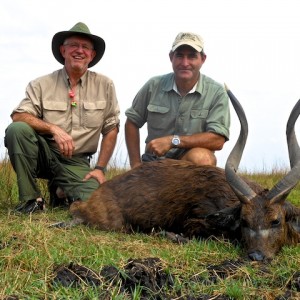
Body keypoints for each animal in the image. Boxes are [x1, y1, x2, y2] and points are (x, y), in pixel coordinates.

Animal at [58, 88, 300, 260]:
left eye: (276, 221)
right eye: (244, 220)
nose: (256, 256)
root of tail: (101, 191)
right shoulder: (195, 221)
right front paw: (169, 235)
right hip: (111, 222)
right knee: (76, 208)